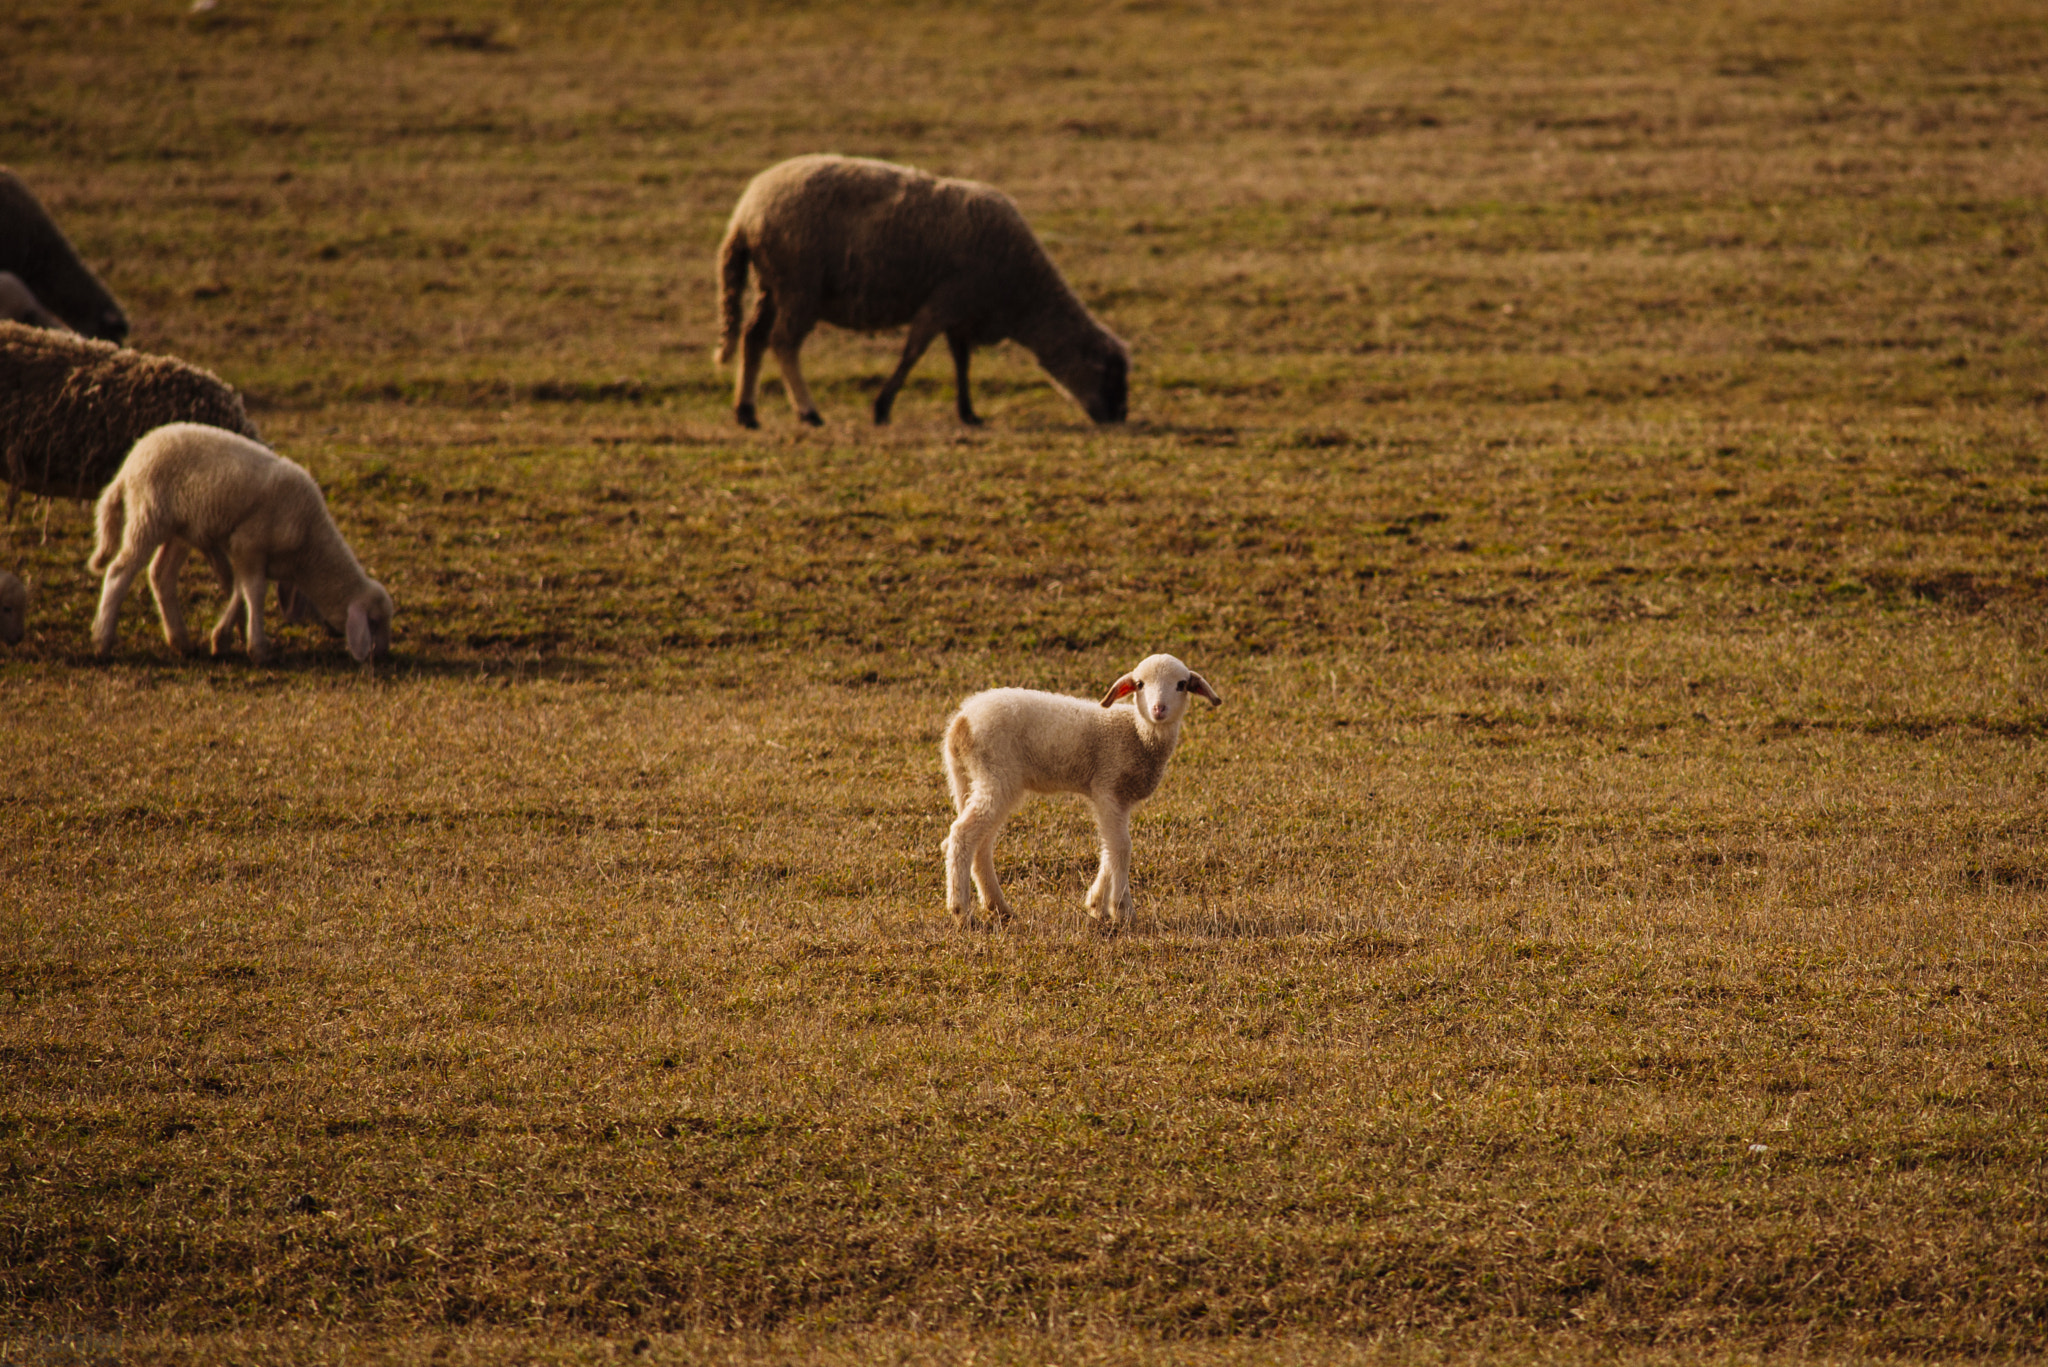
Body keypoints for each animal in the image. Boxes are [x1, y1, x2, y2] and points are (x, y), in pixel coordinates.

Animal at [89, 424, 391, 664]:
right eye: (374, 622)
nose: (382, 656)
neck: (309, 545)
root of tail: (130, 462)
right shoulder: (249, 543)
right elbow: (254, 592)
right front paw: (258, 649)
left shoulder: (251, 555)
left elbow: (240, 590)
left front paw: (222, 639)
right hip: (147, 514)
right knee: (119, 571)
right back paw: (102, 641)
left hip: (180, 528)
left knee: (161, 574)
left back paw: (181, 642)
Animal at [712, 150, 1130, 430]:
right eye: (1111, 375)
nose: (1119, 418)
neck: (1024, 297)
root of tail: (745, 214)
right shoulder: (944, 301)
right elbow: (913, 354)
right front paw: (882, 408)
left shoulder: (962, 312)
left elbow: (961, 361)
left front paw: (969, 413)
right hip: (799, 283)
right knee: (783, 342)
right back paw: (808, 412)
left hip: (772, 283)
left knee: (753, 337)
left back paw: (746, 413)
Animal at [937, 651, 1212, 930]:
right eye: (1140, 684)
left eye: (1181, 685)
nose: (1158, 709)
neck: (1138, 734)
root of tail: (961, 722)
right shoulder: (1108, 787)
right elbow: (1121, 847)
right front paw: (1122, 910)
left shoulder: (1118, 798)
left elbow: (1109, 848)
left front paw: (1096, 905)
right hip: (997, 775)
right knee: (962, 834)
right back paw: (961, 911)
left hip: (969, 778)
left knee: (980, 842)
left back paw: (998, 907)